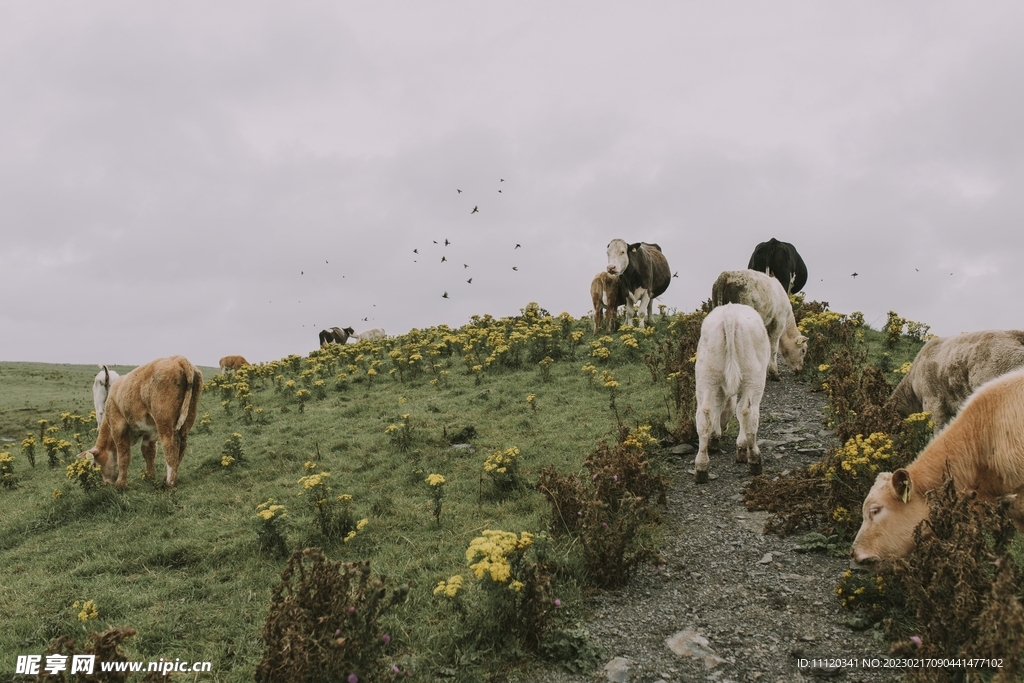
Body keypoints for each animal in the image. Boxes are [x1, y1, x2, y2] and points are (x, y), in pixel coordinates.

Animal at [76, 356, 202, 489]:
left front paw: (121, 484)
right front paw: (149, 476)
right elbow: (148, 452)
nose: (105, 483)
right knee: (182, 444)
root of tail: (179, 358)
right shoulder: (150, 431)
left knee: (171, 445)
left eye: (95, 464)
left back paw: (170, 482)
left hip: (164, 421)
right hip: (187, 418)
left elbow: (123, 455)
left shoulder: (118, 427)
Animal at [692, 301, 770, 483]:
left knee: (704, 414)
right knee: (748, 412)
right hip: (754, 377)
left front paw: (715, 438)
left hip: (706, 375)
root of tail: (730, 313)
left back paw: (701, 467)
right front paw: (741, 449)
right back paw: (755, 460)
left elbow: (717, 407)